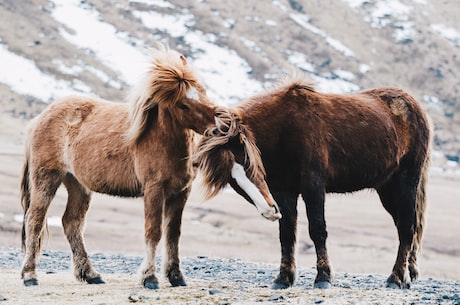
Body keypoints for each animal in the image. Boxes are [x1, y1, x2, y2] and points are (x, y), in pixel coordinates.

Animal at [194, 73, 432, 288]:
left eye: (247, 161)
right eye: (231, 179)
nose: (269, 211)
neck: (284, 129)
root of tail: (415, 107)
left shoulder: (313, 186)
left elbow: (317, 229)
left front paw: (323, 277)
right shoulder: (283, 192)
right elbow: (286, 234)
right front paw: (284, 278)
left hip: (406, 181)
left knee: (407, 227)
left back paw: (396, 278)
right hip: (387, 189)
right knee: (406, 226)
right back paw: (408, 275)